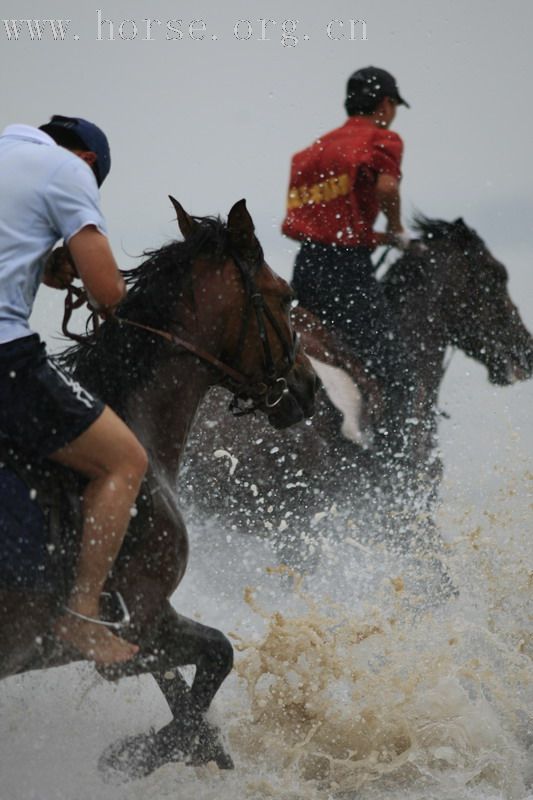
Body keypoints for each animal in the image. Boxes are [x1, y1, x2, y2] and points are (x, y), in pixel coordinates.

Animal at [0, 197, 316, 780]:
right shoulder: (141, 620)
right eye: (284, 297)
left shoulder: (144, 633)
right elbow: (217, 655)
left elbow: (184, 685)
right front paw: (152, 750)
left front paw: (189, 745)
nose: (307, 386)